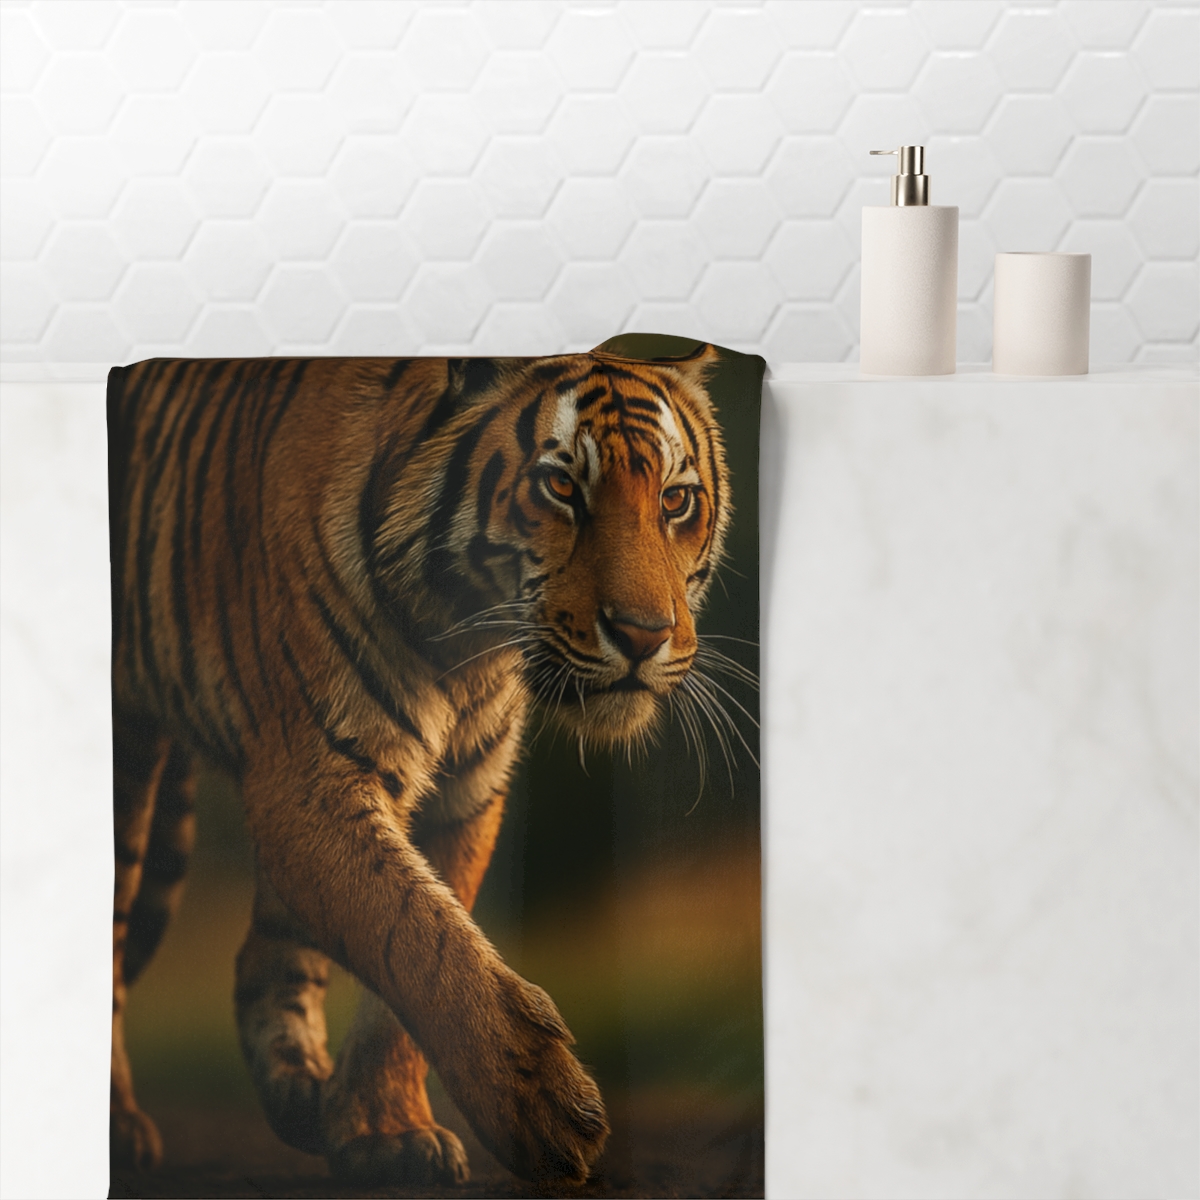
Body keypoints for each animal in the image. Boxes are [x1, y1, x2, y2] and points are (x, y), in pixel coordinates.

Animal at [107, 344, 734, 1187]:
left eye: (675, 500)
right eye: (562, 487)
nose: (643, 634)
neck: (466, 644)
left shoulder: (466, 795)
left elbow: (418, 945)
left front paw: (384, 1131)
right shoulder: (311, 776)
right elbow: (413, 932)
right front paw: (541, 1105)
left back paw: (302, 1093)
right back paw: (119, 1126)